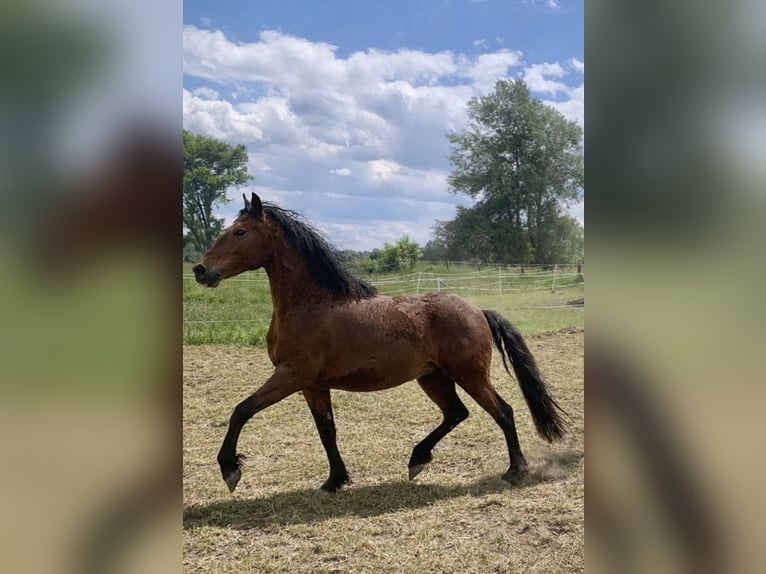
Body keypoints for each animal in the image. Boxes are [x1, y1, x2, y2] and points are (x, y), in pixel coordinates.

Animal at [193, 192, 567, 494]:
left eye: (240, 232)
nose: (200, 270)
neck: (311, 304)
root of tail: (478, 311)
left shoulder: (291, 375)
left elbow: (241, 410)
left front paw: (230, 470)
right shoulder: (312, 386)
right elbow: (327, 431)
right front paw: (335, 481)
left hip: (470, 375)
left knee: (502, 412)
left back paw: (515, 471)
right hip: (433, 377)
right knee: (456, 413)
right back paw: (417, 459)